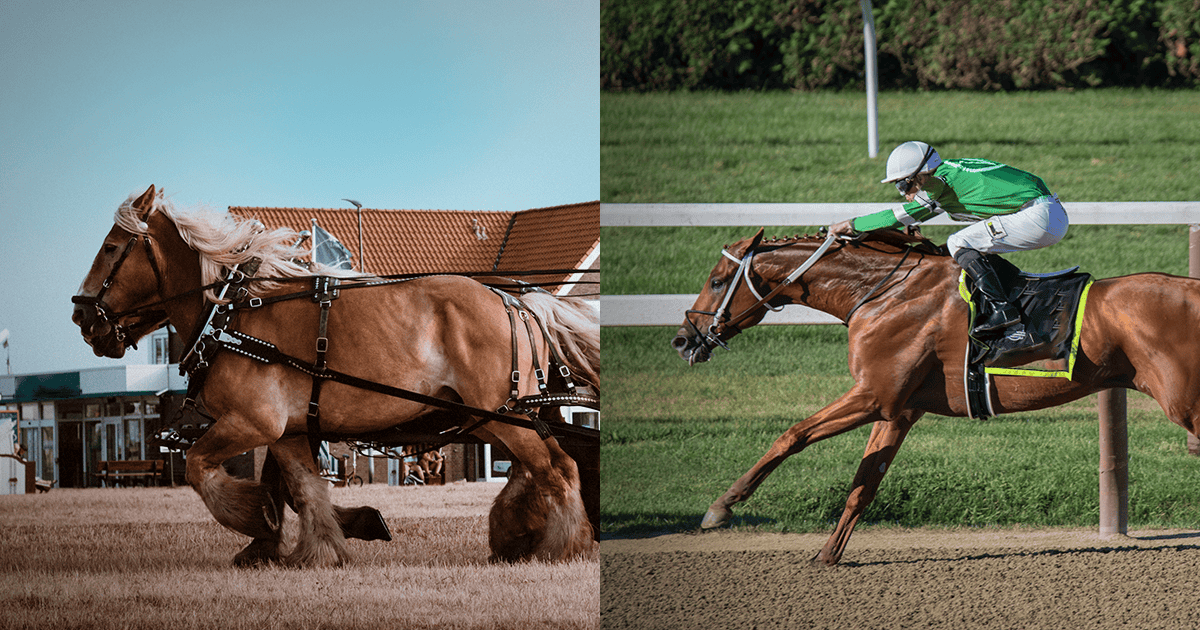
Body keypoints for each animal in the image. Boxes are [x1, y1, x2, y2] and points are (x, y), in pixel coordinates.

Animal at [73, 185, 600, 567]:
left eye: (111, 247)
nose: (82, 317)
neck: (233, 311)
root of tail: (516, 300)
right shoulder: (287, 431)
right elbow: (307, 490)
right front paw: (319, 548)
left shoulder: (252, 422)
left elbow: (200, 467)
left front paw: (254, 519)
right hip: (494, 416)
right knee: (534, 468)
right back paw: (517, 533)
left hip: (504, 414)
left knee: (557, 469)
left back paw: (562, 545)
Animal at [672, 227, 1200, 565]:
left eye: (717, 280)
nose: (683, 339)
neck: (880, 294)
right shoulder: (898, 408)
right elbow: (863, 484)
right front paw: (827, 555)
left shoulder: (873, 395)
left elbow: (793, 434)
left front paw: (722, 506)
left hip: (1185, 402)